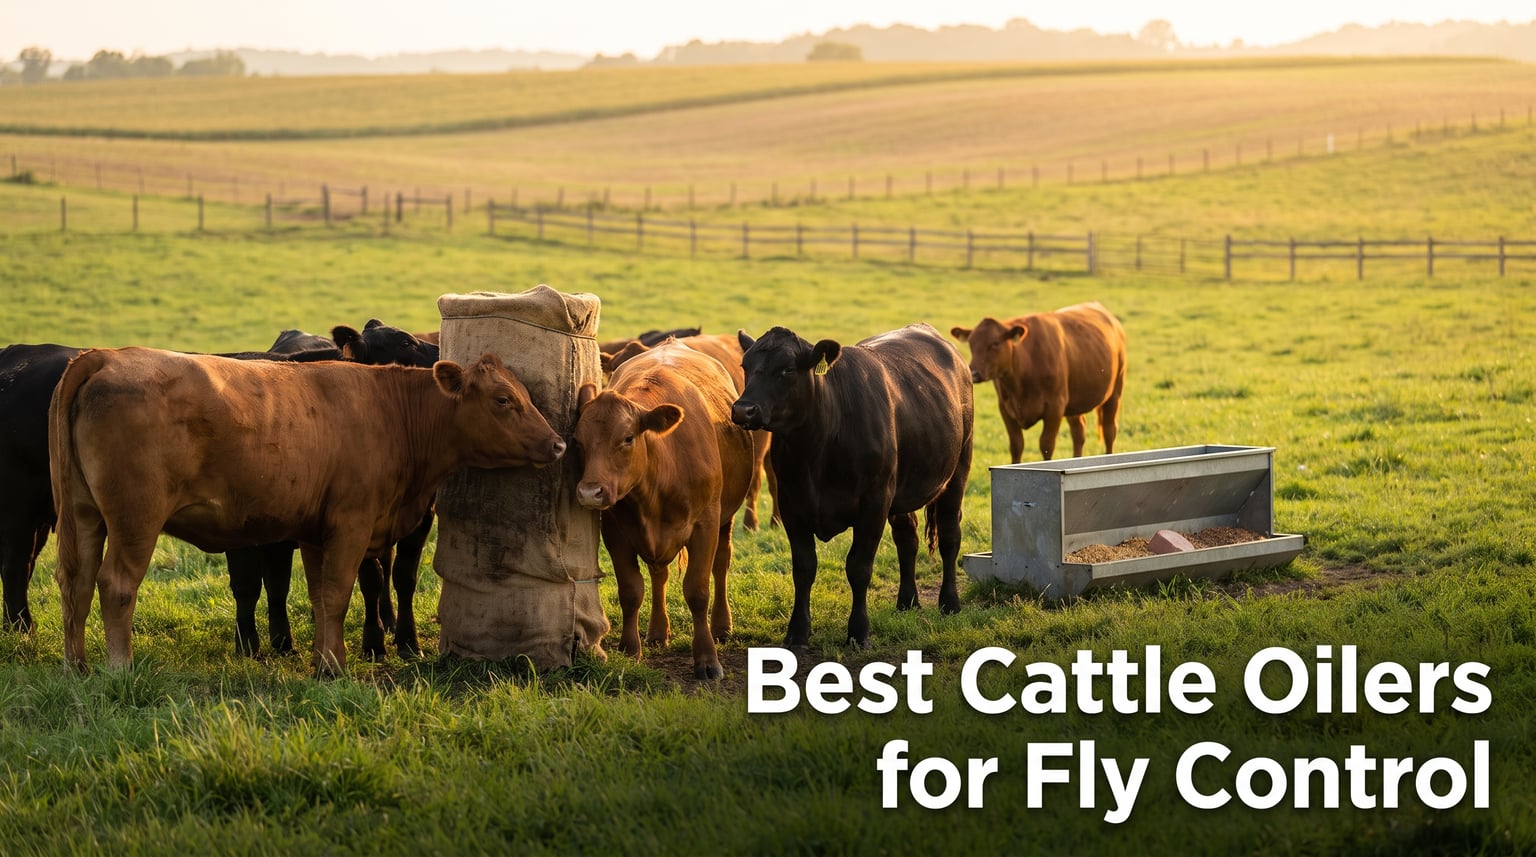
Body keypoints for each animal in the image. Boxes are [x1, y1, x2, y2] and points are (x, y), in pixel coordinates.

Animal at [49, 348, 564, 673]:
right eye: (503, 400)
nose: (558, 444)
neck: (392, 412)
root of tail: (108, 355)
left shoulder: (318, 533)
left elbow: (320, 598)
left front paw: (322, 658)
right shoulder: (351, 523)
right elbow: (337, 595)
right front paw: (334, 666)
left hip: (85, 515)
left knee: (76, 582)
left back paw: (76, 665)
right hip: (136, 519)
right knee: (115, 584)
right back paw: (121, 668)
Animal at [573, 340, 753, 680]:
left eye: (627, 438)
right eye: (578, 440)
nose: (590, 492)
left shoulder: (705, 525)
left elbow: (697, 590)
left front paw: (707, 659)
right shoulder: (614, 531)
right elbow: (631, 591)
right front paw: (630, 650)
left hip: (726, 518)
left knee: (721, 564)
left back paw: (721, 626)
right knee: (659, 574)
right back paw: (658, 632)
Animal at [731, 324, 973, 650]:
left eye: (787, 369)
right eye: (745, 366)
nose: (743, 410)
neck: (817, 447)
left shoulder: (873, 504)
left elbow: (858, 568)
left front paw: (859, 632)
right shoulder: (791, 505)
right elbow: (804, 569)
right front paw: (797, 632)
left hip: (957, 471)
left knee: (949, 536)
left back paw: (949, 603)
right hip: (902, 490)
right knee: (907, 539)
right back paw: (907, 602)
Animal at [950, 301, 1127, 463]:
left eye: (995, 343)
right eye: (971, 344)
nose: (974, 373)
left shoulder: (1055, 407)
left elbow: (1046, 445)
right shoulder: (1005, 408)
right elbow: (1016, 445)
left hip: (1115, 392)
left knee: (1109, 430)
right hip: (1075, 402)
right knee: (1079, 433)